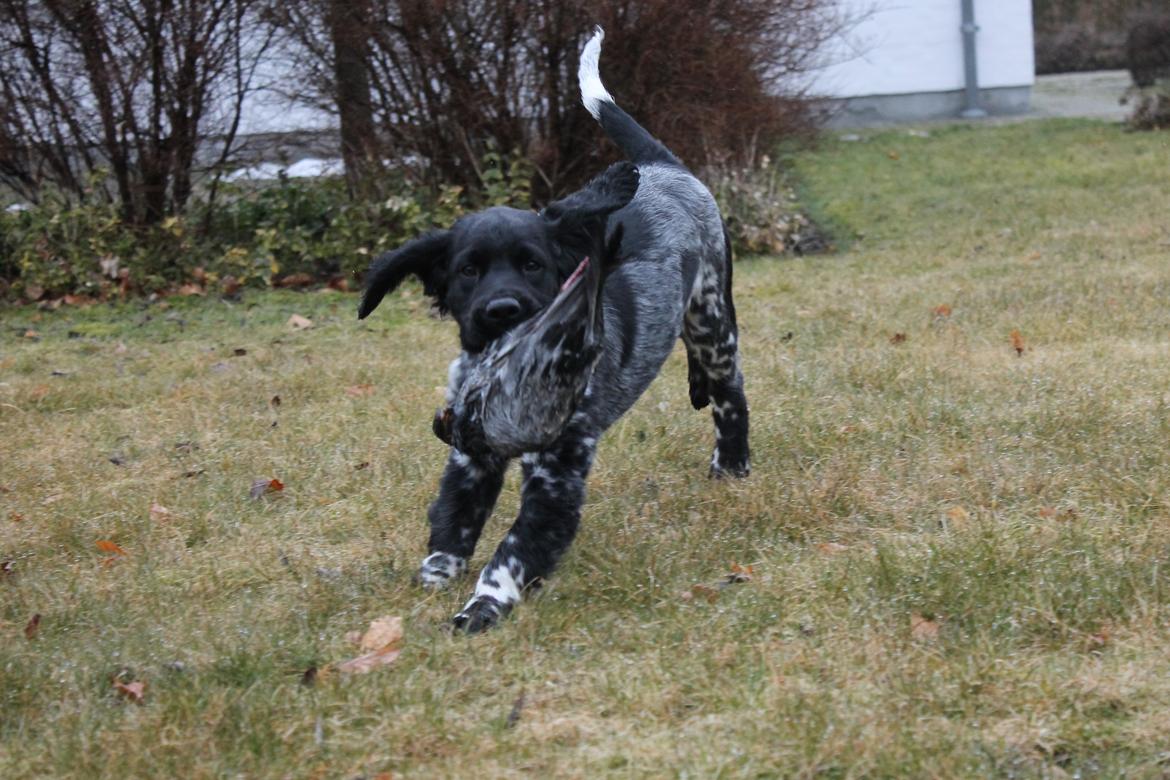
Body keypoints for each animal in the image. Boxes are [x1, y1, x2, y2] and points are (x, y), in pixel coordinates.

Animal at [360, 27, 753, 631]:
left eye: (533, 264)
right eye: (468, 270)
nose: (501, 309)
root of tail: (663, 166)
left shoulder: (556, 471)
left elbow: (515, 548)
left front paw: (482, 606)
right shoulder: (470, 457)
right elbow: (452, 518)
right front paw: (434, 578)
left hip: (712, 320)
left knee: (729, 393)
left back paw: (730, 467)